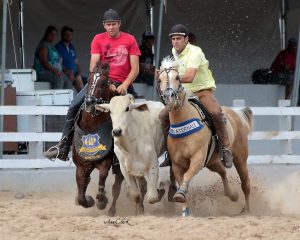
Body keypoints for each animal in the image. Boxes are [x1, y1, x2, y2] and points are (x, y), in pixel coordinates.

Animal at [72, 61, 123, 217]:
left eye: (103, 83)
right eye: (88, 80)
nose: (89, 102)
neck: (91, 125)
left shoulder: (106, 162)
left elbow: (103, 176)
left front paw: (101, 200)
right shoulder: (81, 165)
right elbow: (81, 193)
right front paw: (87, 200)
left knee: (116, 187)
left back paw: (111, 209)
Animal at [157, 57, 253, 217]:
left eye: (177, 78)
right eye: (159, 80)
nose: (169, 97)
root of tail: (236, 113)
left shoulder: (198, 158)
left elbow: (187, 175)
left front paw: (180, 193)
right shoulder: (177, 164)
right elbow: (181, 180)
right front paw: (184, 209)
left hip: (240, 158)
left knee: (246, 184)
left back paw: (248, 210)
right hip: (213, 162)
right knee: (223, 172)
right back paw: (232, 195)